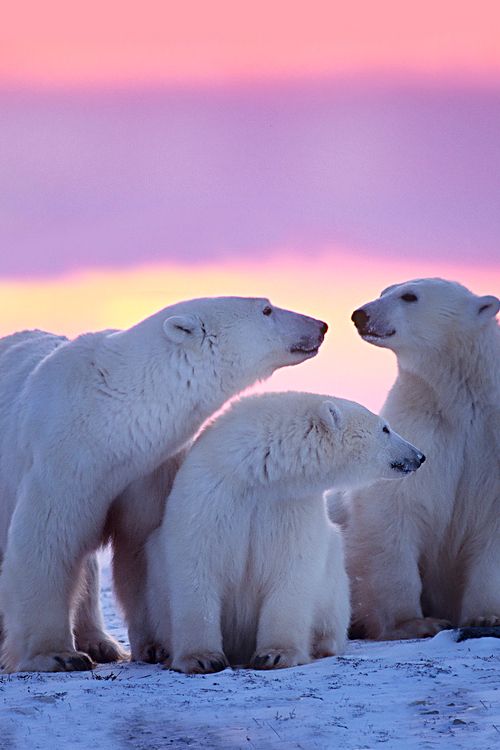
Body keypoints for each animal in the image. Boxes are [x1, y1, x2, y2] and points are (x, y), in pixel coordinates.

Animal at [0, 297, 327, 672]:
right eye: (267, 309)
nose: (320, 326)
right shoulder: (63, 458)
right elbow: (47, 540)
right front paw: (58, 654)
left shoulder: (148, 470)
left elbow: (143, 544)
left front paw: (156, 646)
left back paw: (101, 643)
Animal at [145, 391, 426, 674]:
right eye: (385, 428)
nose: (419, 456)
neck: (257, 472)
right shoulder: (211, 494)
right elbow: (197, 565)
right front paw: (202, 658)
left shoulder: (290, 505)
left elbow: (291, 569)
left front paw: (275, 655)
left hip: (334, 582)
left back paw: (321, 644)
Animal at [344, 278, 500, 640]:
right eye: (384, 290)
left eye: (409, 296)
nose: (360, 315)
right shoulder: (421, 430)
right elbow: (396, 509)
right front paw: (415, 622)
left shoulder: (489, 442)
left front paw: (486, 616)